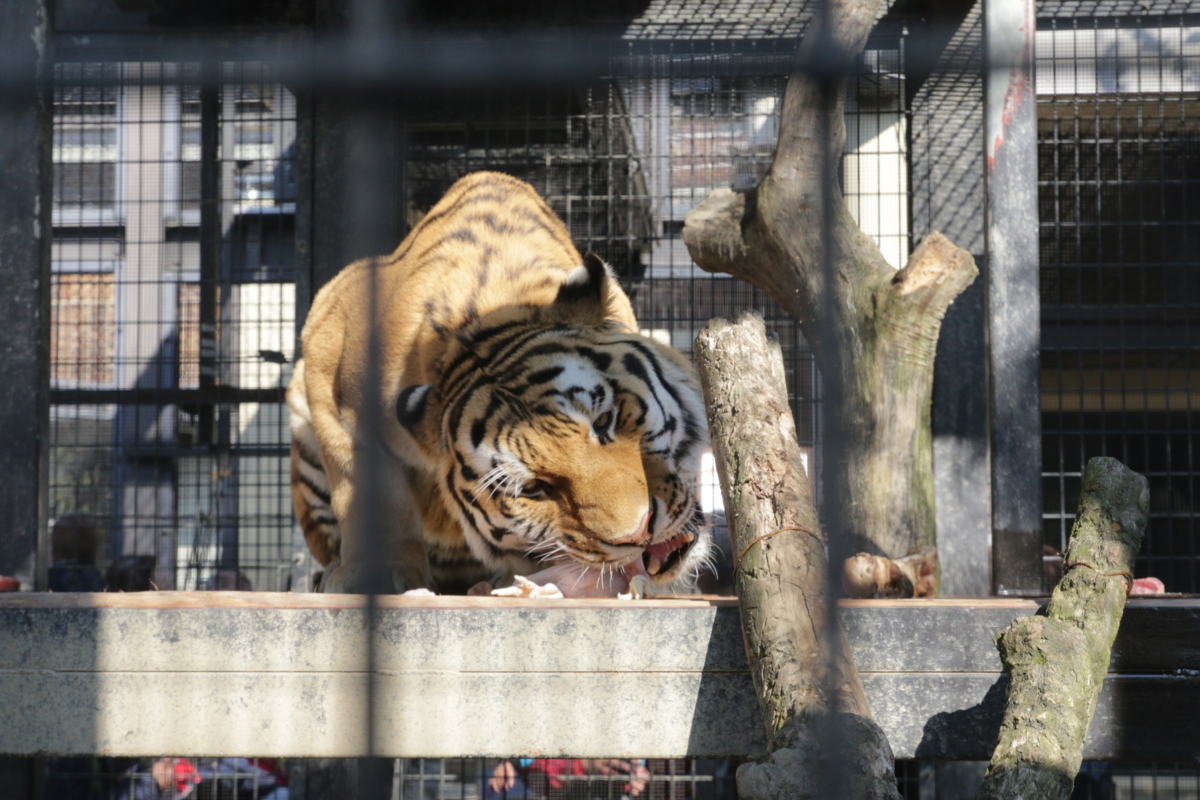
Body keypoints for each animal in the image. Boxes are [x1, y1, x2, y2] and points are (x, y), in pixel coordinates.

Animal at [284, 172, 705, 594]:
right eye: (534, 488)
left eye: (604, 421)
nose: (638, 534)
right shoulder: (328, 373)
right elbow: (368, 494)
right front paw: (378, 576)